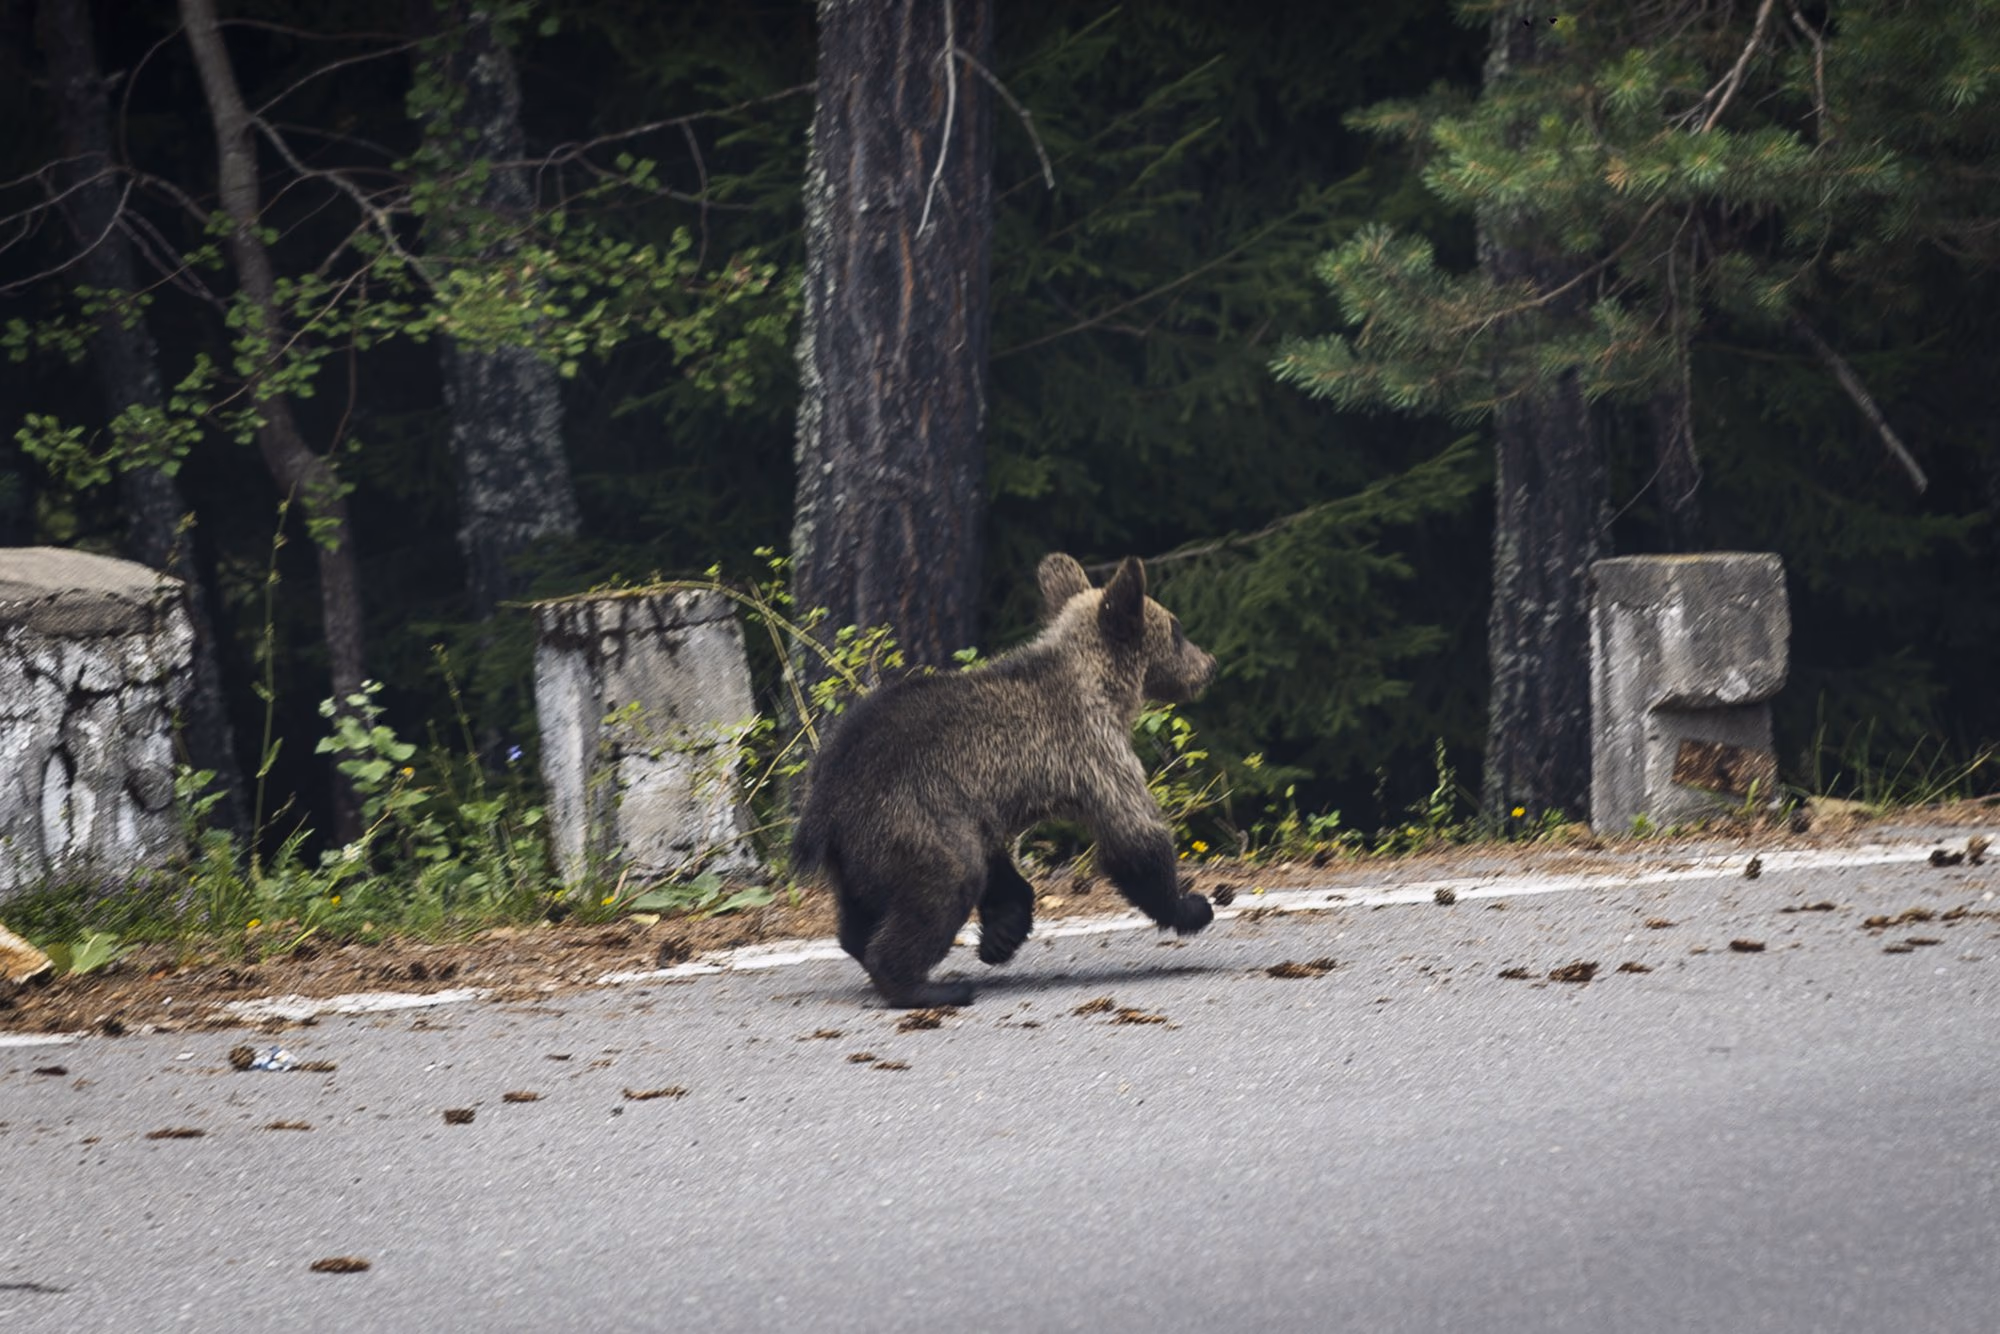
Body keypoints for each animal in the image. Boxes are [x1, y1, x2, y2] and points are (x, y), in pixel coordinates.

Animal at [791, 553, 1218, 1008]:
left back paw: (867, 947)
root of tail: (825, 794)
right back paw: (930, 985)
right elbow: (1135, 835)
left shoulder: (983, 802)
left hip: (859, 848)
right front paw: (1191, 904)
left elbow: (1001, 870)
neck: (1101, 685)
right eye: (1177, 629)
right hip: (906, 814)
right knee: (949, 880)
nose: (1208, 664)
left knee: (862, 907)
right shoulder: (1092, 750)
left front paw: (1000, 935)